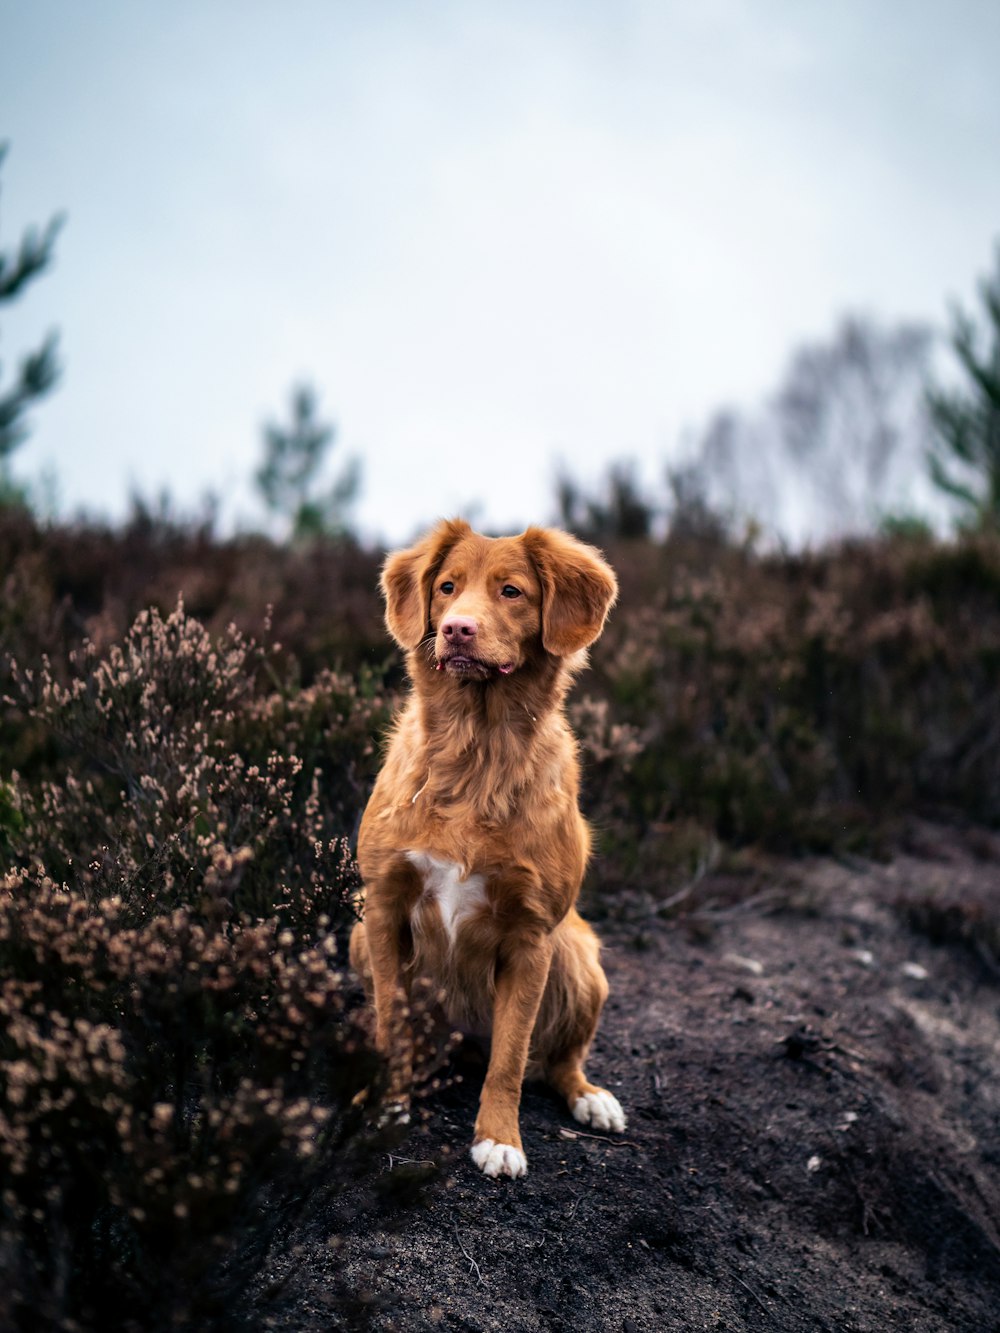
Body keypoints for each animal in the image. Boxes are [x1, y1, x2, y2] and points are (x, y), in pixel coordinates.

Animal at [349, 519, 624, 1178]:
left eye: (512, 591)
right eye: (447, 587)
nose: (456, 629)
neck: (477, 752)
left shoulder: (531, 935)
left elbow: (511, 1056)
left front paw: (499, 1138)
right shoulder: (383, 906)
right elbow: (389, 1021)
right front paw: (386, 1106)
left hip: (580, 957)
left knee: (557, 1061)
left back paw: (591, 1099)